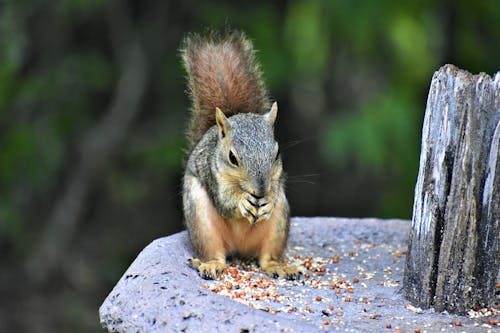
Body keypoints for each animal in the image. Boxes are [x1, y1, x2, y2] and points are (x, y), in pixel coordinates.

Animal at [181, 30, 300, 280]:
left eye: (277, 153)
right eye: (232, 158)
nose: (261, 191)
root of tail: (240, 248)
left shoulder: (277, 180)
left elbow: (274, 193)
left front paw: (268, 200)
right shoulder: (213, 176)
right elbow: (225, 202)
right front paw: (242, 201)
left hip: (279, 222)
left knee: (266, 257)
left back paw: (278, 267)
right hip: (200, 218)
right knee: (216, 252)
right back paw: (210, 264)